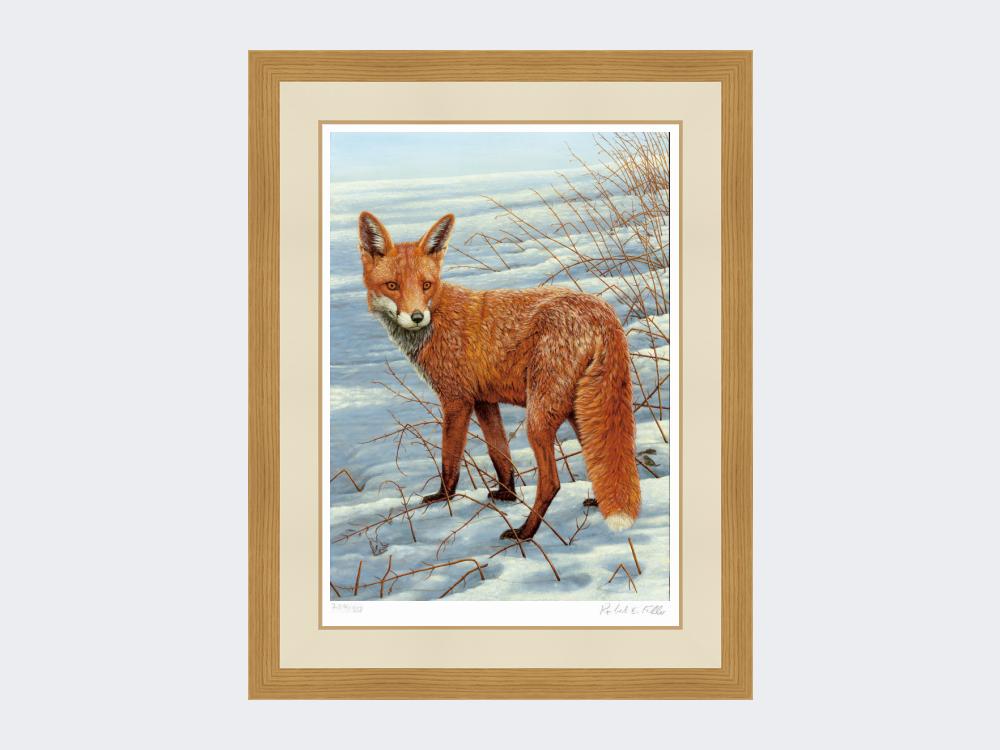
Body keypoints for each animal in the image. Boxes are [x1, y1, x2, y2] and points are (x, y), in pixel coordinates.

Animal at [358, 211, 641, 540]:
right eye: (392, 285)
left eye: (426, 285)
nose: (417, 317)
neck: (438, 317)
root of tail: (602, 312)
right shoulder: (484, 401)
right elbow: (500, 455)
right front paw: (507, 494)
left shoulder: (457, 400)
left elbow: (449, 461)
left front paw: (443, 497)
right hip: (579, 409)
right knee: (606, 457)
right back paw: (599, 501)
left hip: (540, 416)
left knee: (552, 482)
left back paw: (525, 532)